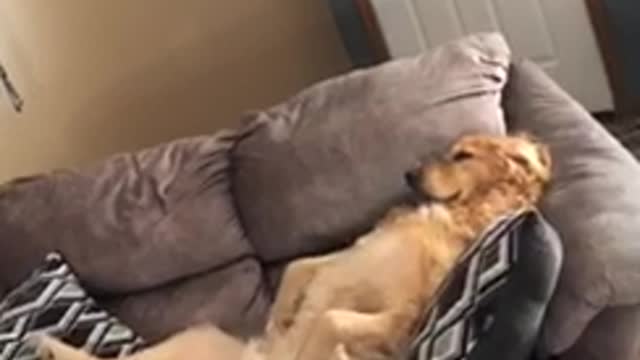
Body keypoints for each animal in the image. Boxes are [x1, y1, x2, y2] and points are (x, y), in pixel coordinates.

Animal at [35, 134, 552, 360]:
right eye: (451, 149)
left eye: (463, 155)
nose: (408, 173)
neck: (459, 216)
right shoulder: (347, 255)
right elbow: (298, 266)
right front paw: (277, 318)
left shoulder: (404, 318)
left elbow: (327, 318)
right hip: (195, 337)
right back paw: (51, 346)